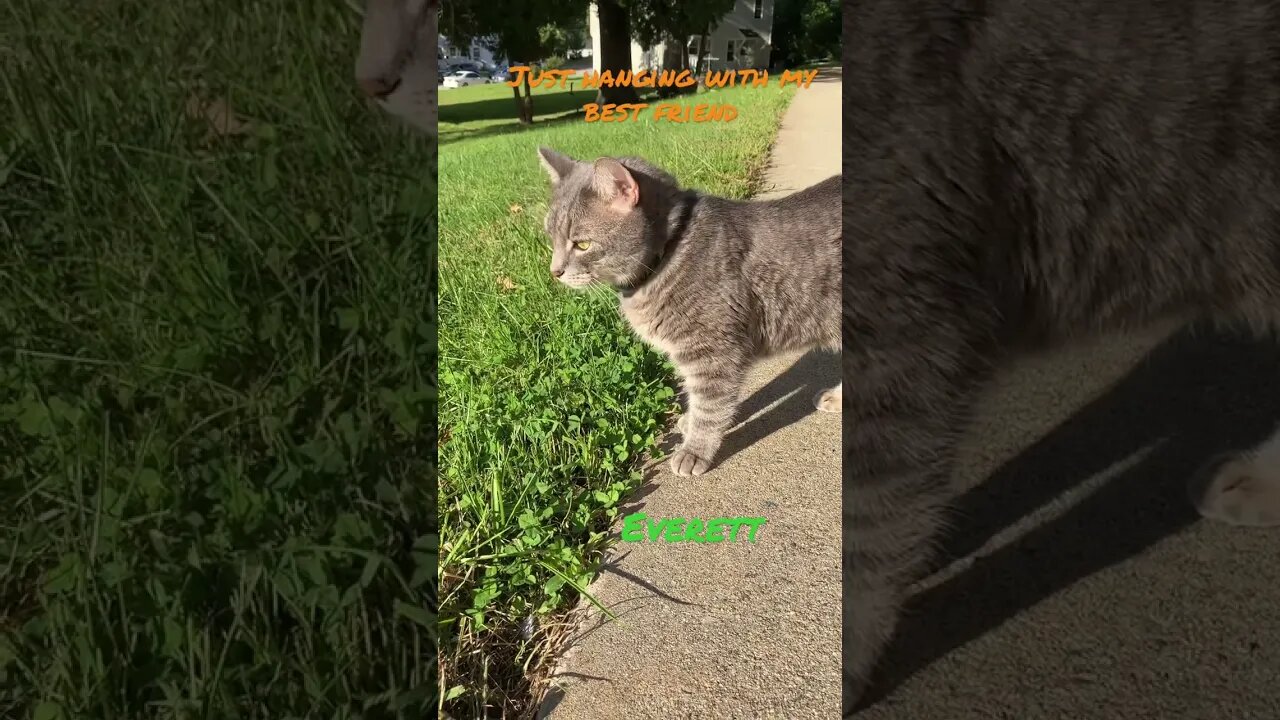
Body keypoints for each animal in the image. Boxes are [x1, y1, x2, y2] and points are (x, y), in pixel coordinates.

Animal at [537, 147, 844, 474]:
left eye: (582, 244)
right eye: (551, 238)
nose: (554, 271)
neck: (669, 252)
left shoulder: (711, 353)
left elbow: (709, 407)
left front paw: (695, 449)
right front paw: (690, 421)